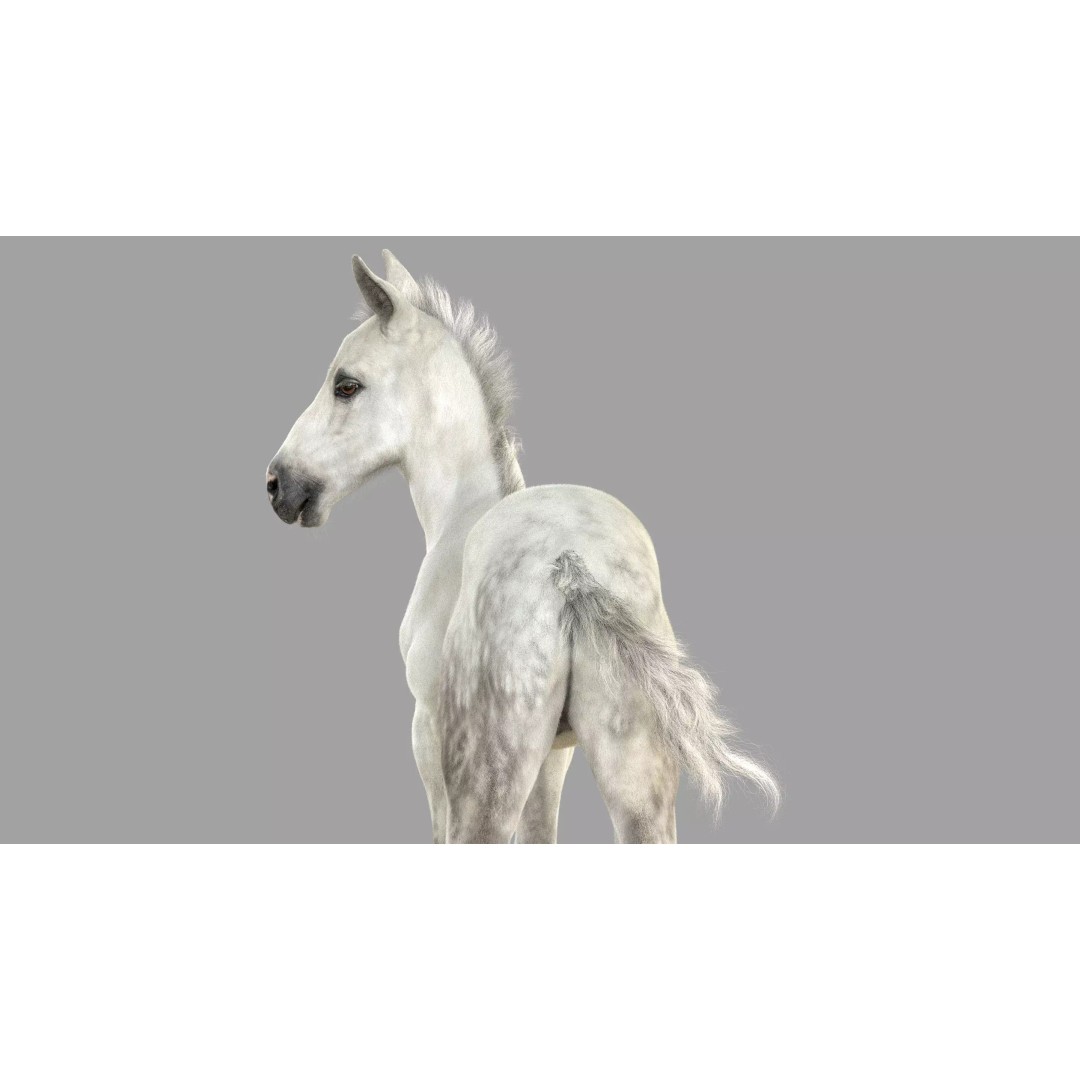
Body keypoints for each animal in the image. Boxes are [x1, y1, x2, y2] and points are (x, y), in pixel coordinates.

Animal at [266, 250, 780, 842]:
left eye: (346, 385)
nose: (279, 484)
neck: (462, 515)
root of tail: (569, 564)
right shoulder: (556, 756)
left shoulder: (426, 738)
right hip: (638, 784)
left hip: (485, 781)